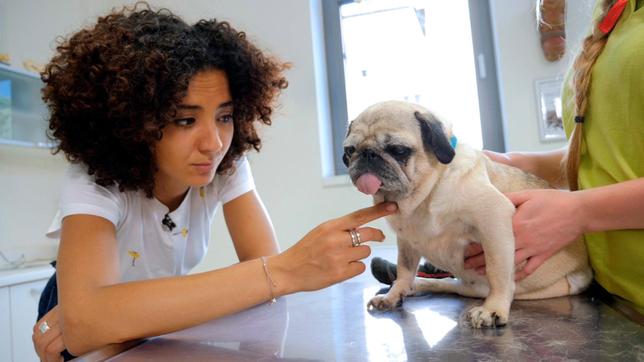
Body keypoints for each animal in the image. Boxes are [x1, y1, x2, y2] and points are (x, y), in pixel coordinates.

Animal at [344, 100, 592, 326]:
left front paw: (494, 308)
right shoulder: (406, 241)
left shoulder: (494, 218)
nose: (367, 154)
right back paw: (414, 286)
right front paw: (395, 294)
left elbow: (497, 272)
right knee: (442, 284)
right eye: (349, 151)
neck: (423, 196)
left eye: (398, 150)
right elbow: (405, 270)